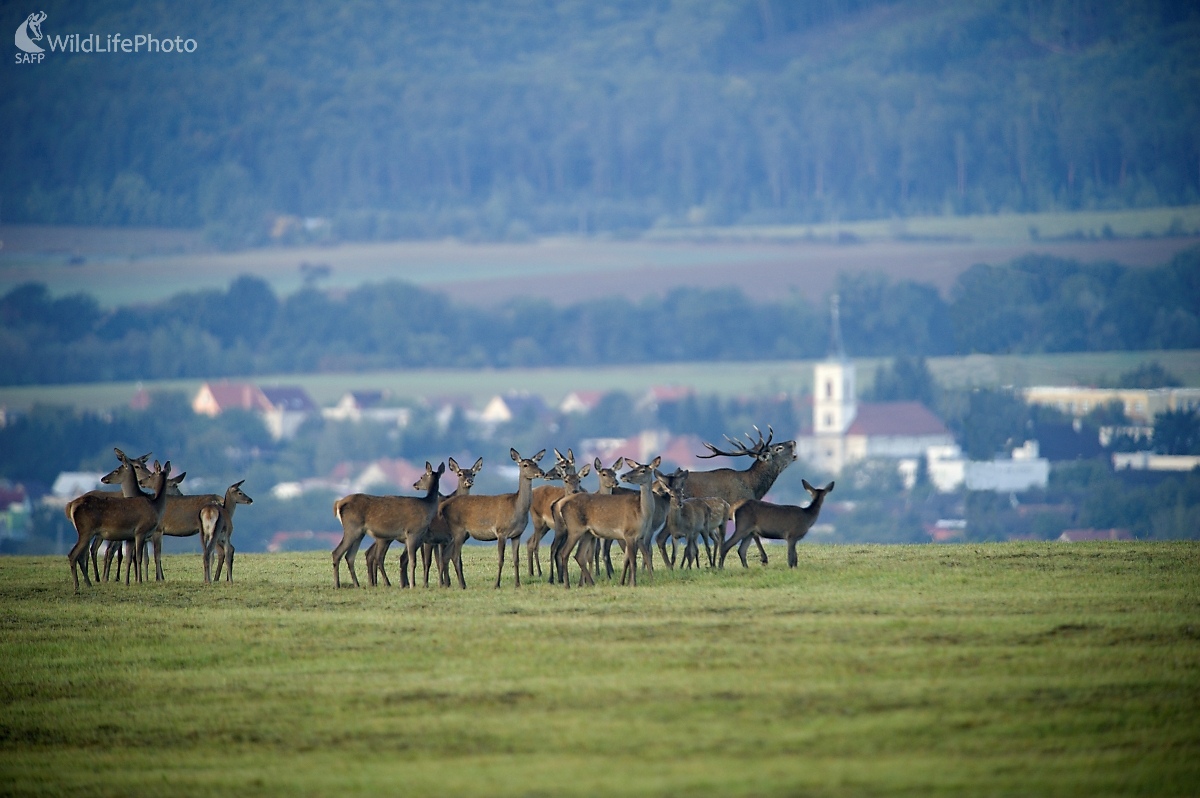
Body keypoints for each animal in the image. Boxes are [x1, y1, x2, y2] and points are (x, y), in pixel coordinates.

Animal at [64, 453, 171, 590]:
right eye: (151, 475)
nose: (143, 481)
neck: (155, 507)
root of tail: (71, 506)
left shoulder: (130, 536)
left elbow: (129, 558)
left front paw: (127, 582)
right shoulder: (140, 531)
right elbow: (139, 557)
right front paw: (139, 581)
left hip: (88, 533)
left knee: (82, 555)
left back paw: (88, 583)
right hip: (86, 530)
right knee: (74, 554)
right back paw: (77, 586)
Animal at [439, 444, 547, 588]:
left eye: (536, 463)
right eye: (525, 465)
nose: (541, 472)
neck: (517, 509)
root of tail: (443, 506)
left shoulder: (517, 535)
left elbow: (516, 559)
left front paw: (517, 584)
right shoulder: (501, 532)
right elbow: (501, 560)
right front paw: (496, 584)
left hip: (459, 533)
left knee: (446, 554)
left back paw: (446, 584)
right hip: (458, 529)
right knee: (455, 555)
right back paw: (462, 585)